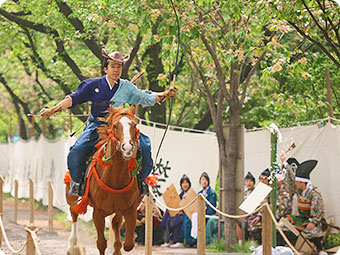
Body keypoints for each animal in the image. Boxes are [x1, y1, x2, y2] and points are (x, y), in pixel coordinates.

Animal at [65, 105, 139, 255]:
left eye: (134, 125)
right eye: (115, 125)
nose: (128, 148)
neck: (115, 178)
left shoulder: (130, 209)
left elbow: (128, 244)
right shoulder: (98, 212)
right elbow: (101, 243)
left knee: (115, 223)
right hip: (71, 195)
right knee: (74, 212)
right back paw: (73, 246)